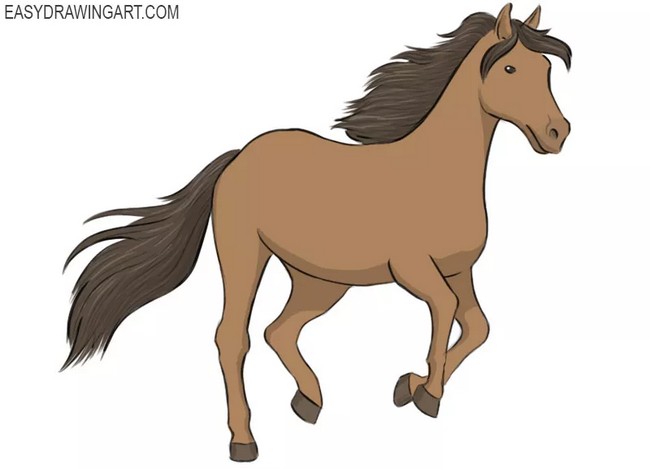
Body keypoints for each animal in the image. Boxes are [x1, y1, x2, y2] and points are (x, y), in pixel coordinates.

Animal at [62, 4, 572, 462]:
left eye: (546, 67)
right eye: (509, 67)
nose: (557, 133)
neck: (435, 174)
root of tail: (239, 157)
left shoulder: (458, 271)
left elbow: (477, 327)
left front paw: (409, 387)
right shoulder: (414, 270)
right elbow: (446, 313)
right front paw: (426, 395)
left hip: (320, 283)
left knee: (279, 331)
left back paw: (309, 400)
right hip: (245, 256)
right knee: (234, 337)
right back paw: (244, 441)